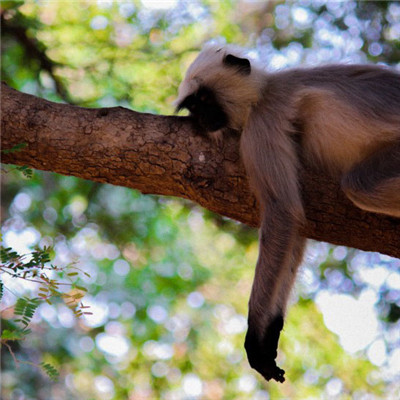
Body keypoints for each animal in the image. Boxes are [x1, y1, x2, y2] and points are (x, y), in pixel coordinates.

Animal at [174, 42, 400, 382]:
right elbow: (295, 228)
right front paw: (271, 333)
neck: (263, 91)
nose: (201, 119)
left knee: (361, 186)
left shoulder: (262, 124)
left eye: (204, 100)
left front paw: (255, 337)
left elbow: (282, 214)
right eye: (192, 107)